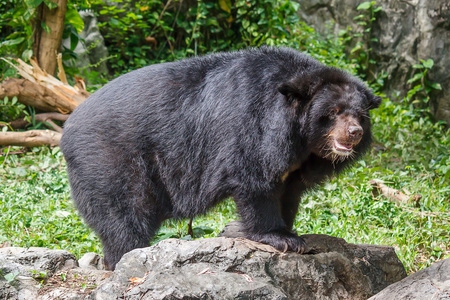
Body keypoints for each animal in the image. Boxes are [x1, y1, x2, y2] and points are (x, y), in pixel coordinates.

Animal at [61, 47, 382, 270]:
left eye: (359, 115)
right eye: (333, 112)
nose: (354, 133)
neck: (300, 139)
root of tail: (67, 128)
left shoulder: (295, 163)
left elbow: (288, 191)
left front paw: (290, 230)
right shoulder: (251, 129)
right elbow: (255, 182)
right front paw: (282, 237)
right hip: (109, 161)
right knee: (124, 216)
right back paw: (123, 257)